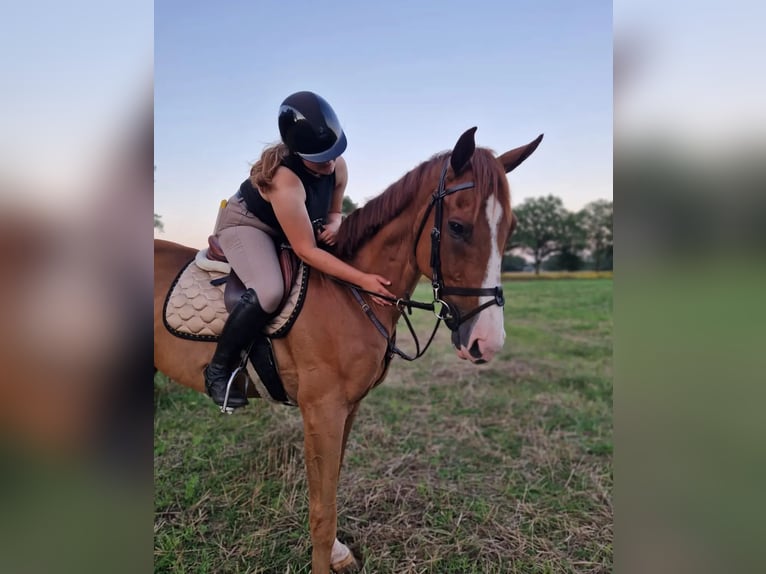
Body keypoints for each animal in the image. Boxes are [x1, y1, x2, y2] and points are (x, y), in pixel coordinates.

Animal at [153, 128, 544, 572]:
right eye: (458, 227)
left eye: (510, 227)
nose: (487, 342)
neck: (351, 293)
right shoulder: (322, 410)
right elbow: (323, 510)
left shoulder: (348, 409)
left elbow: (333, 486)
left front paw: (338, 552)